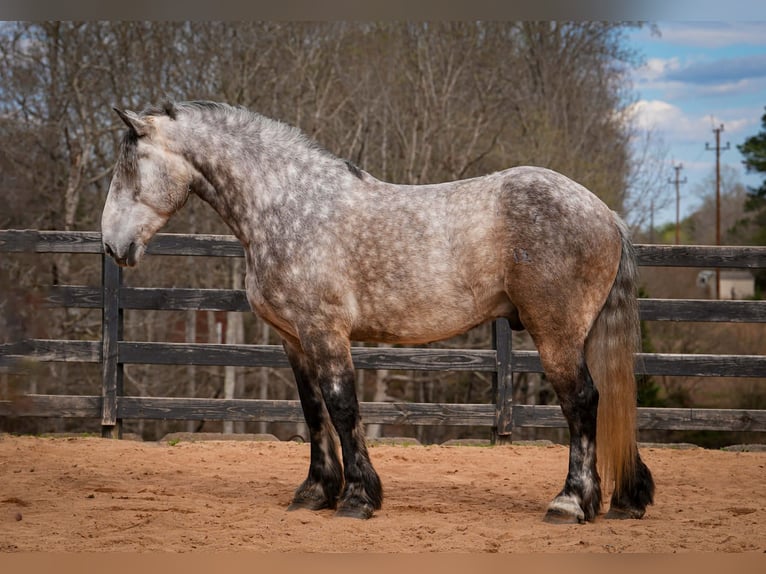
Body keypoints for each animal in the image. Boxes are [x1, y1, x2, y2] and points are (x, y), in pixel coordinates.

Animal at [101, 100, 654, 522]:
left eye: (129, 169)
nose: (111, 245)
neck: (288, 205)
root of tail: (604, 213)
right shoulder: (294, 338)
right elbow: (313, 411)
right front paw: (314, 494)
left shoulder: (325, 332)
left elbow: (343, 407)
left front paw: (358, 498)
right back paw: (620, 499)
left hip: (556, 334)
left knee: (581, 402)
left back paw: (570, 503)